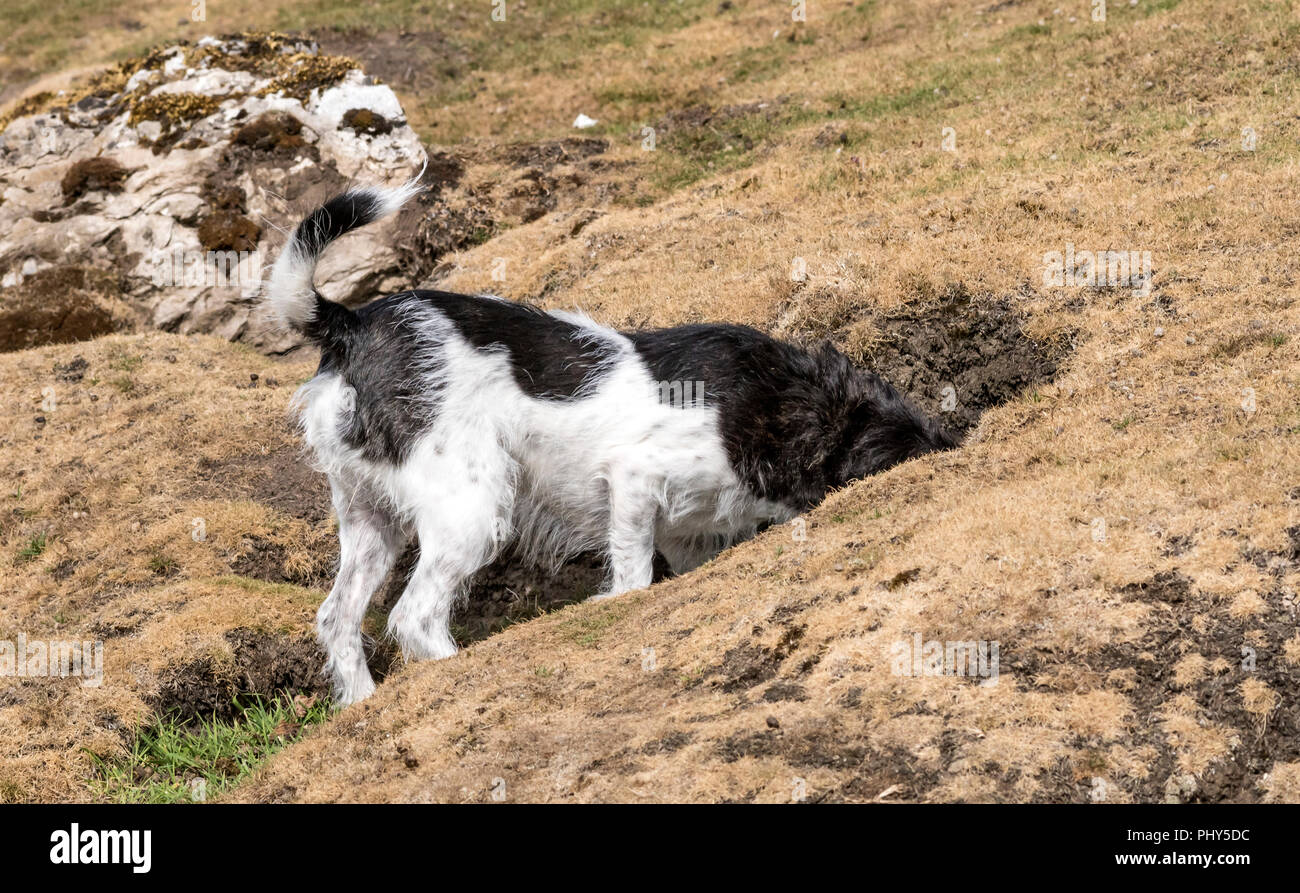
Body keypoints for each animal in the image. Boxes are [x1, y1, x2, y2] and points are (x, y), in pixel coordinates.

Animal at [266, 178, 956, 701]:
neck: (778, 402)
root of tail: (350, 323)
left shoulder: (691, 534)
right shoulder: (635, 480)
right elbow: (632, 577)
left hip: (369, 515)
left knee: (338, 617)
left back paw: (363, 704)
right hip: (472, 506)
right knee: (414, 616)